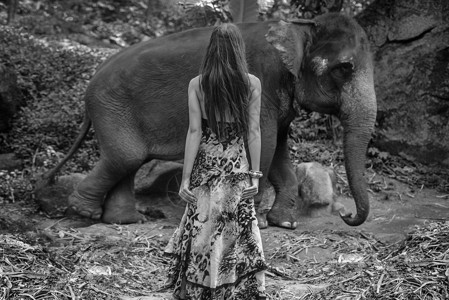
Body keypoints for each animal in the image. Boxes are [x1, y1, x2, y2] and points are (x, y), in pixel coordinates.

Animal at [42, 11, 376, 227]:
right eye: (344, 68)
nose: (346, 215)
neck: (298, 25)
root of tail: (94, 75)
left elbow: (279, 151)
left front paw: (285, 224)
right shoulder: (261, 82)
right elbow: (264, 143)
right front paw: (258, 223)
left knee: (128, 160)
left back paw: (124, 220)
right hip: (110, 107)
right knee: (126, 157)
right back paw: (85, 213)